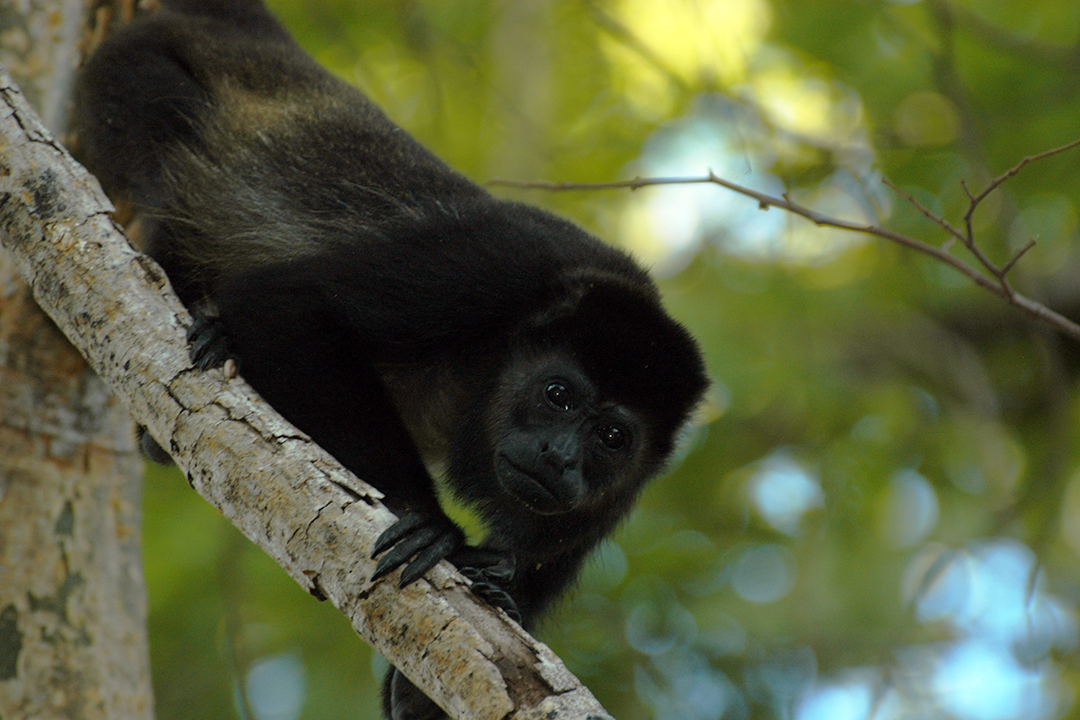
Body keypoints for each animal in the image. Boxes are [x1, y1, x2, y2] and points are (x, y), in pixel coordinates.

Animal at [75, 1, 708, 718]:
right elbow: (291, 302)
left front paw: (499, 586)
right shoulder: (497, 265)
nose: (559, 457)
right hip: (131, 75)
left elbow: (442, 684)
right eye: (558, 395)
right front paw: (426, 521)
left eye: (611, 437)